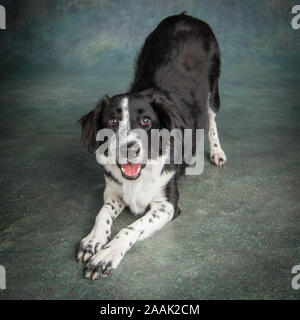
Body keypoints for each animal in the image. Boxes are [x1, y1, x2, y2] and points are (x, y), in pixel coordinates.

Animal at [76, 12, 226, 278]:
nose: (129, 148)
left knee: (211, 120)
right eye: (112, 121)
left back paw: (217, 152)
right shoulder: (113, 193)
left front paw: (107, 254)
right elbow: (102, 214)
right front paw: (93, 240)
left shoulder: (167, 205)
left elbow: (130, 228)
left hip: (213, 88)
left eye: (146, 121)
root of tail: (185, 16)